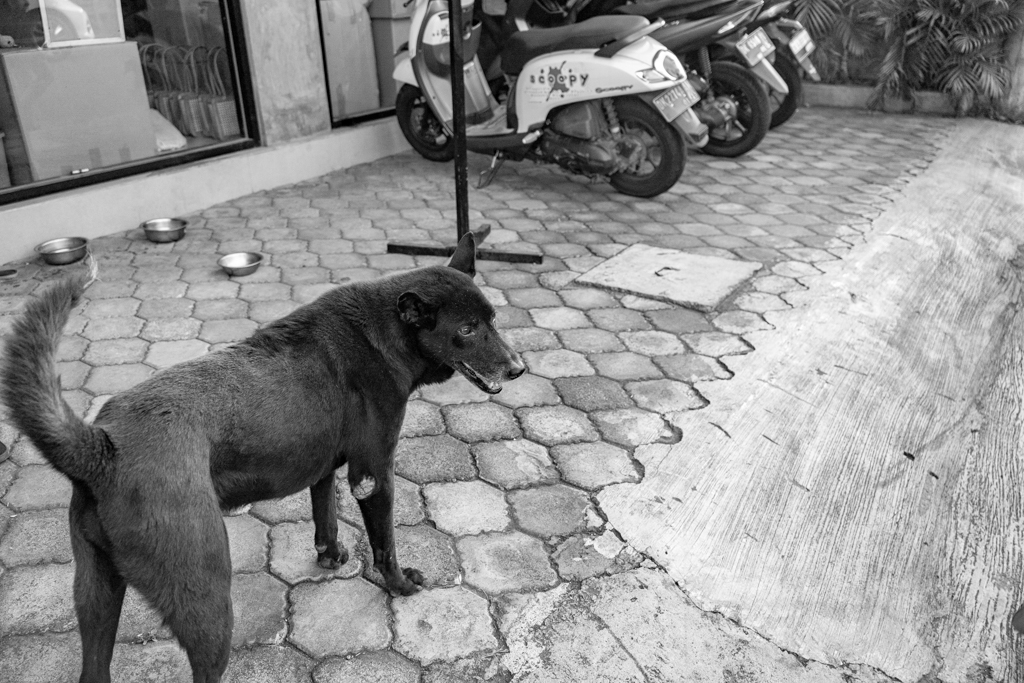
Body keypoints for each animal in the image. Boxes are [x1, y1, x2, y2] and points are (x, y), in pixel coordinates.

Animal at [0, 236, 524, 683]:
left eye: (493, 319)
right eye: (467, 329)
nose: (519, 368)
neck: (385, 332)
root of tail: (101, 445)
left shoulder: (326, 470)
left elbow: (324, 515)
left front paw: (330, 555)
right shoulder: (373, 475)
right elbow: (385, 545)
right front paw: (399, 585)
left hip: (97, 595)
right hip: (206, 594)